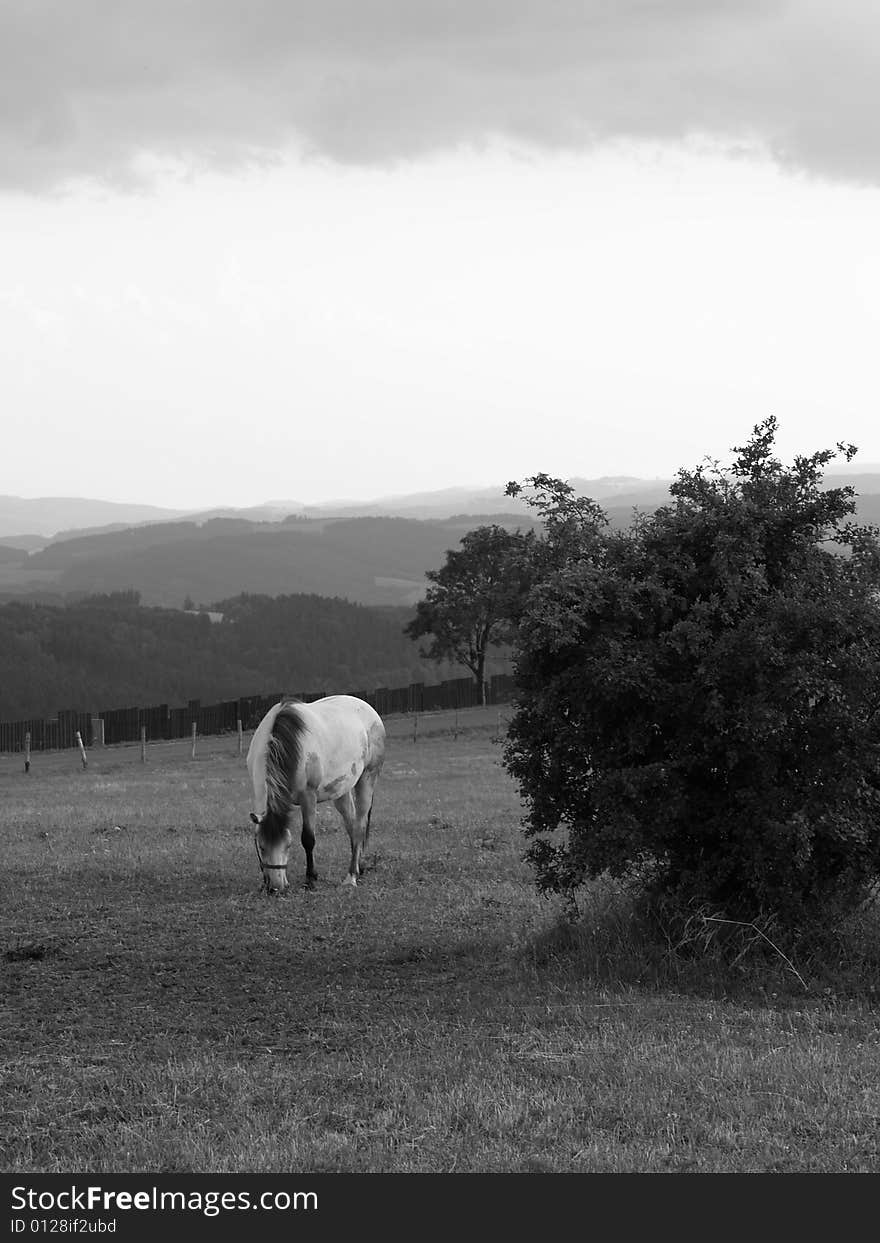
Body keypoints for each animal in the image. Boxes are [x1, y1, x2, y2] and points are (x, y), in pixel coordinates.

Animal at [247, 701, 385, 894]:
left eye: (288, 845)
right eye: (261, 846)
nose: (275, 888)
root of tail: (369, 709)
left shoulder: (308, 797)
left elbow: (308, 839)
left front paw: (310, 879)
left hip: (367, 778)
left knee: (359, 826)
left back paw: (351, 877)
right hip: (341, 790)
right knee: (351, 825)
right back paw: (359, 867)